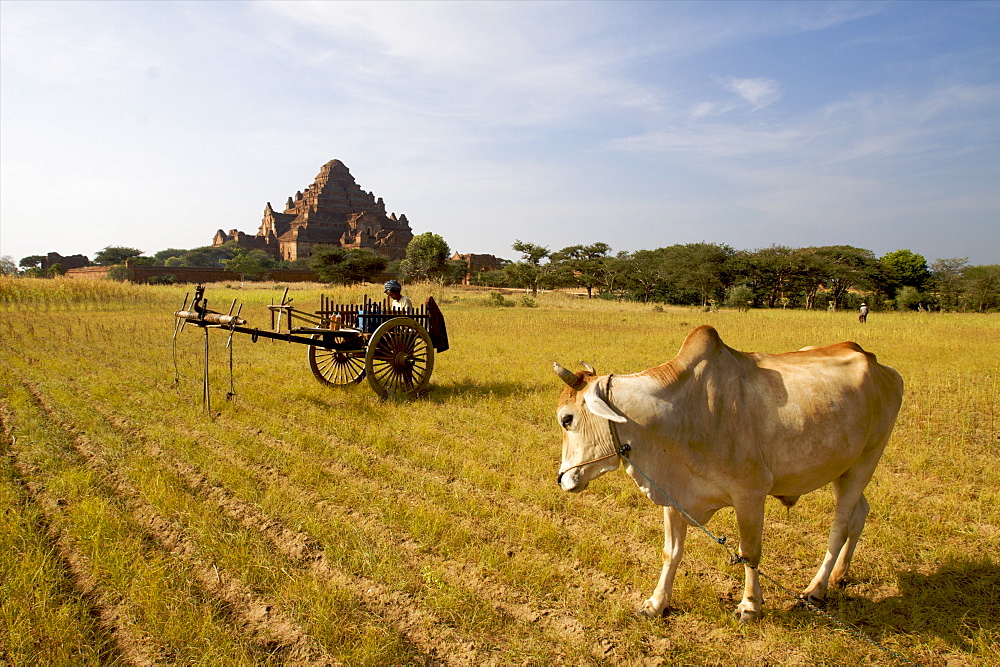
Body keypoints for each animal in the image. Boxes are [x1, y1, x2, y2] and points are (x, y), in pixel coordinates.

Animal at [556, 326, 908, 624]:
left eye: (566, 419)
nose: (562, 479)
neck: (683, 411)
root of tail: (880, 365)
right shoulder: (674, 494)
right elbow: (672, 552)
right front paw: (656, 604)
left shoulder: (750, 495)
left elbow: (749, 553)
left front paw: (750, 605)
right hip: (843, 467)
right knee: (859, 513)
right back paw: (840, 575)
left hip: (866, 462)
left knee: (839, 525)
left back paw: (816, 589)